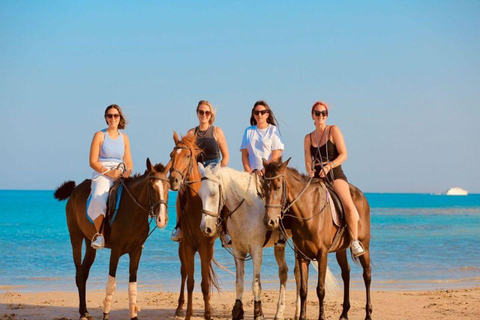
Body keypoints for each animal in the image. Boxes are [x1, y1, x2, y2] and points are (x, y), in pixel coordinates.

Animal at [54, 159, 171, 320]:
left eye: (168, 187)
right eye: (152, 187)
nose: (162, 219)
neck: (133, 211)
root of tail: (74, 191)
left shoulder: (136, 252)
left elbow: (133, 284)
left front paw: (134, 316)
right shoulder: (115, 251)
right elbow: (111, 283)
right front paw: (106, 314)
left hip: (90, 244)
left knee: (84, 273)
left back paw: (85, 311)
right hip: (76, 237)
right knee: (79, 273)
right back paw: (82, 313)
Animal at [166, 132, 217, 320]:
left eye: (188, 156)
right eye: (172, 155)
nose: (173, 180)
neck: (196, 204)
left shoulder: (205, 247)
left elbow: (204, 282)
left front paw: (208, 313)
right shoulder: (188, 246)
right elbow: (190, 281)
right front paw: (188, 313)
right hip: (182, 245)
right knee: (184, 271)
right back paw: (179, 307)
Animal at [262, 159, 372, 320]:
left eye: (277, 187)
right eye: (263, 187)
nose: (269, 221)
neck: (308, 212)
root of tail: (362, 195)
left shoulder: (322, 254)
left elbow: (320, 289)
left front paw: (321, 316)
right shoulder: (302, 255)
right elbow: (303, 289)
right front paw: (302, 316)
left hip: (365, 246)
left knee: (367, 275)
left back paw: (368, 313)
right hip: (340, 249)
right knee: (346, 273)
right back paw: (344, 313)